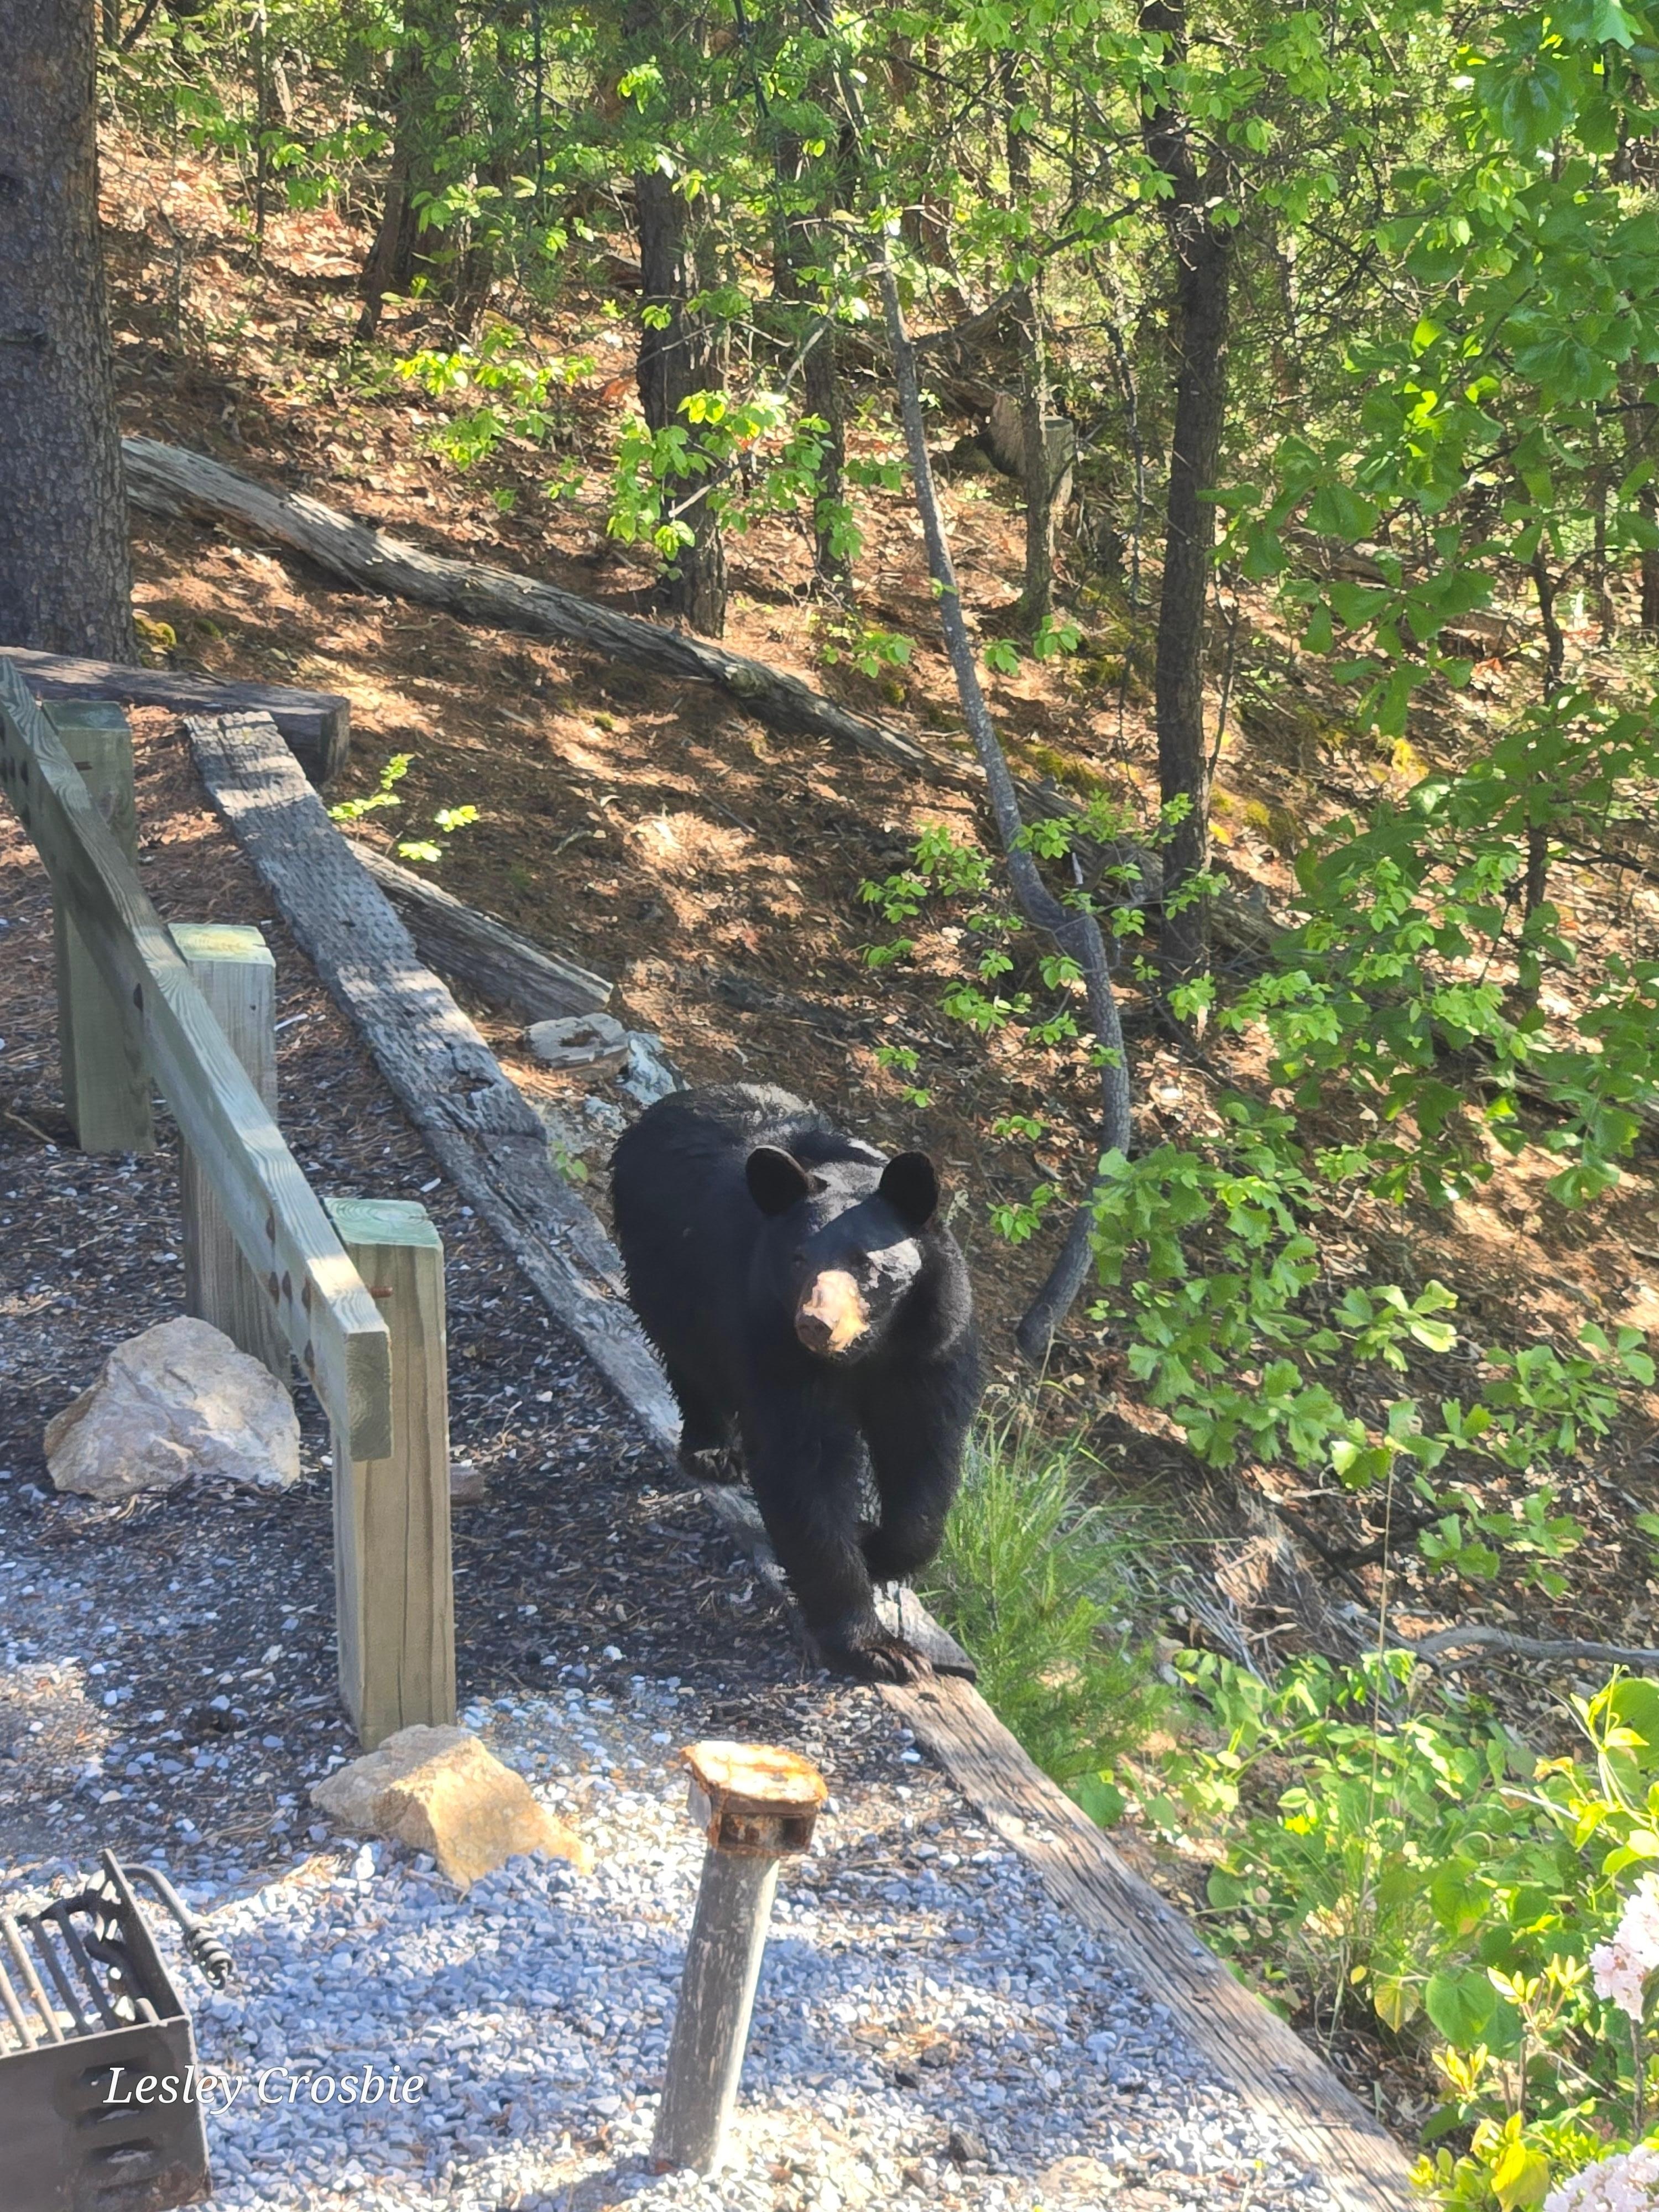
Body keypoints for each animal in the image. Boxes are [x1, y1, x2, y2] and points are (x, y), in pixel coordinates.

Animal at [610, 1083, 982, 1682]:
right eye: (798, 1258)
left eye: (865, 1263)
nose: (816, 1324)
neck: (867, 1352)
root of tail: (673, 1101)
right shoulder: (771, 1342)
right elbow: (805, 1466)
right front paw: (876, 1646)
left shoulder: (932, 1349)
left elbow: (923, 1451)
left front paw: (877, 1545)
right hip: (664, 1268)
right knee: (688, 1356)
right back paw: (713, 1450)